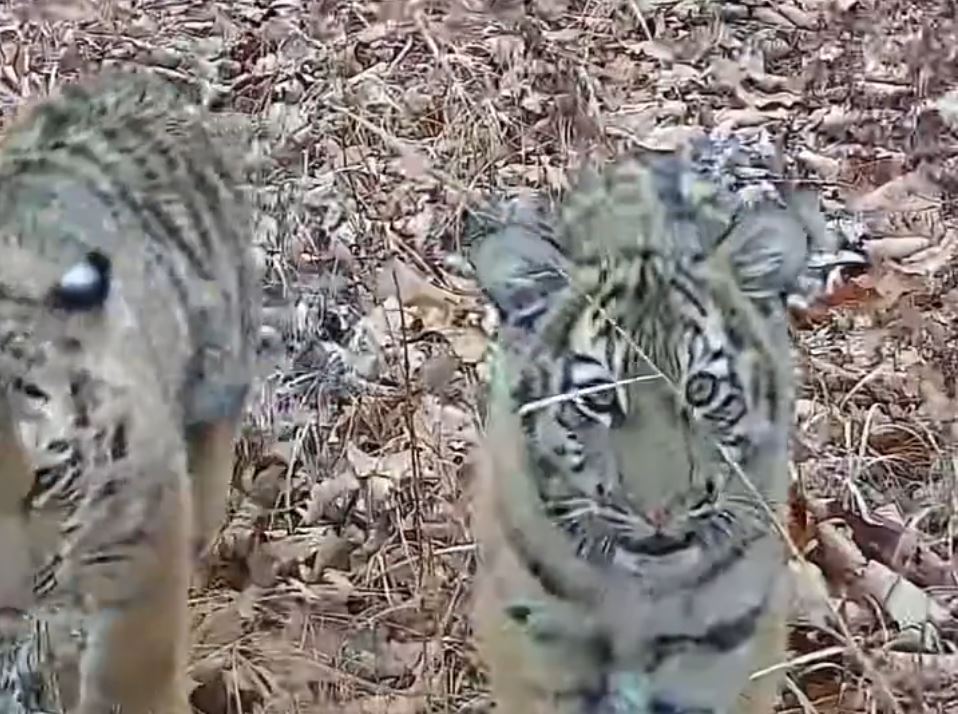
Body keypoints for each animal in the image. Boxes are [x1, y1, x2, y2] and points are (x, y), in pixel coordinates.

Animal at [0, 69, 259, 713]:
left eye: (44, 481)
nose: (9, 603)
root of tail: (132, 80)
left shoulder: (144, 512)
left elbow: (131, 667)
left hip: (218, 363)